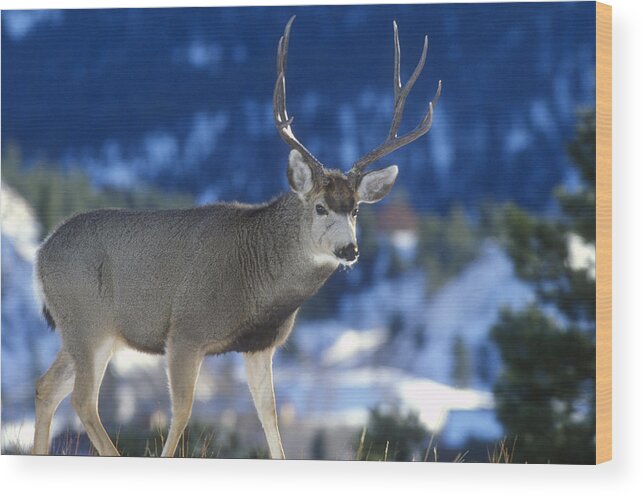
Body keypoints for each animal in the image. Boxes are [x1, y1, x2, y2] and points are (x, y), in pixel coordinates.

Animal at [32, 16, 440, 458]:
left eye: (356, 210)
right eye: (319, 206)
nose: (349, 249)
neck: (256, 283)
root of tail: (41, 254)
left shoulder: (260, 345)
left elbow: (270, 417)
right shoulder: (186, 331)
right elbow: (182, 413)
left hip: (81, 329)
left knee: (47, 388)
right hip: (89, 322)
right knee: (83, 400)